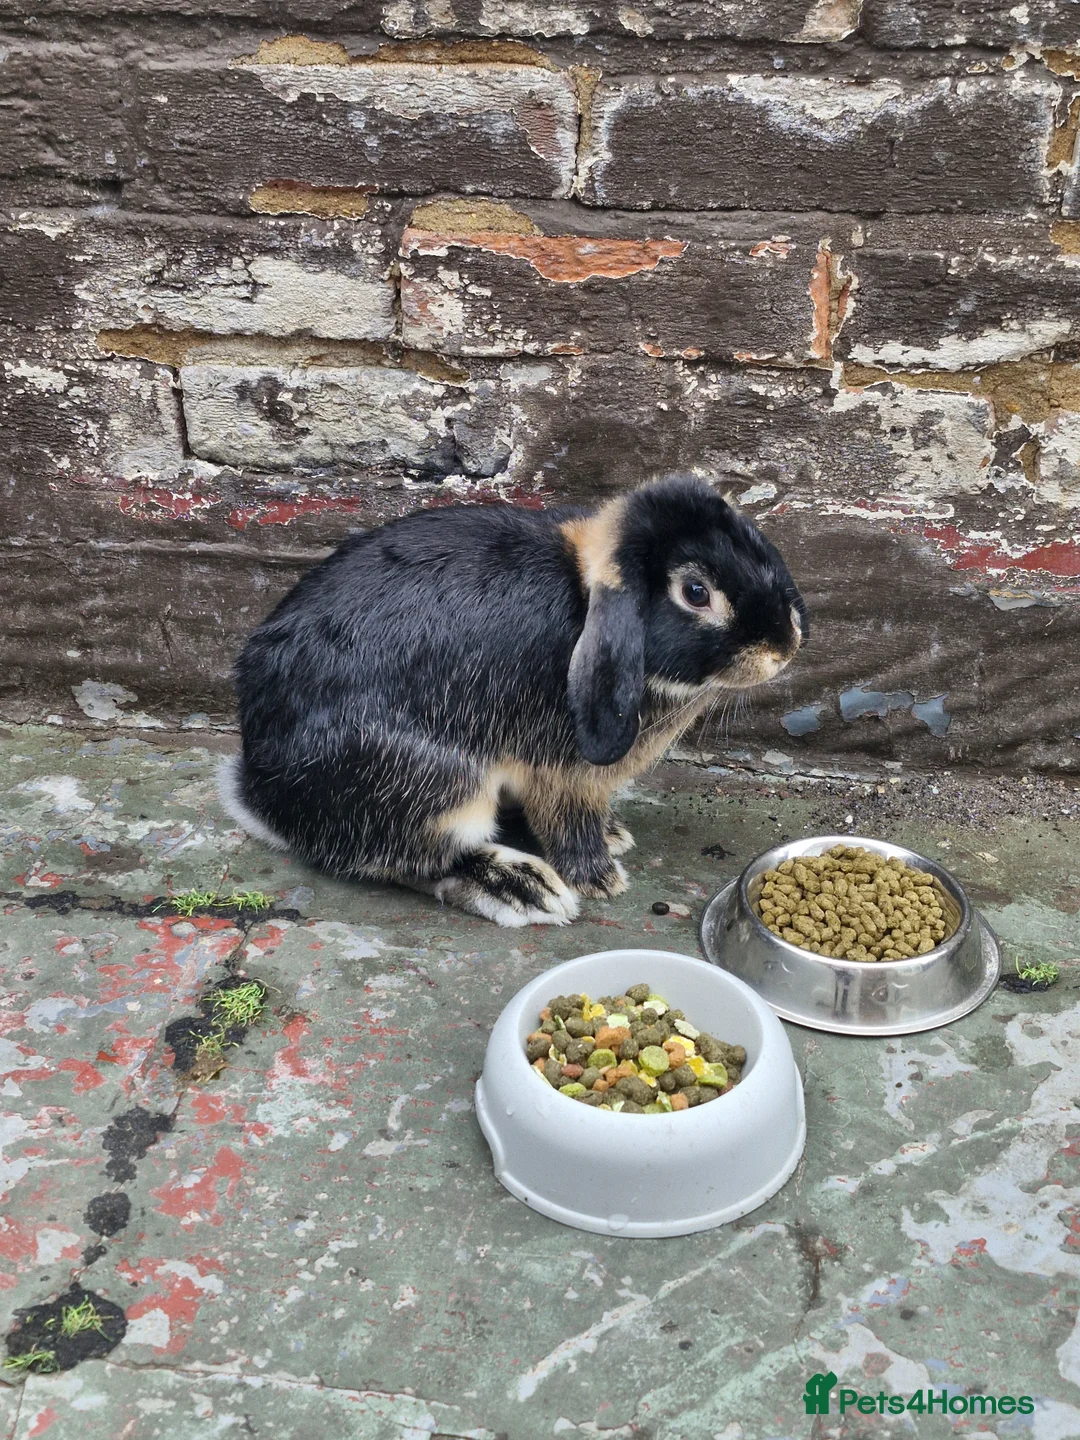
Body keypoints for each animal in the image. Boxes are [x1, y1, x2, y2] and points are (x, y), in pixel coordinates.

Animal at [220, 474, 808, 927]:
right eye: (695, 593)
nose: (785, 645)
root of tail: (259, 794)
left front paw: (613, 836)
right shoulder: (563, 773)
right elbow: (569, 823)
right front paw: (601, 878)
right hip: (434, 782)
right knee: (414, 859)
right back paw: (521, 887)